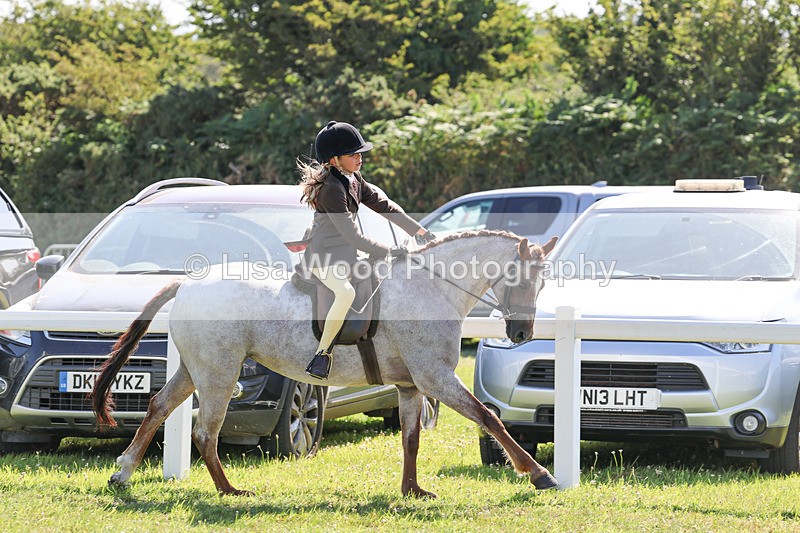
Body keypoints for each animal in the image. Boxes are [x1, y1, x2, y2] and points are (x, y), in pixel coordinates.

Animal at [91, 230, 559, 497]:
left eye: (543, 281)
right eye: (518, 278)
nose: (521, 334)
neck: (430, 286)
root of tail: (187, 285)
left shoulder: (411, 385)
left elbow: (410, 439)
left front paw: (412, 490)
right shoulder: (437, 378)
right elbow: (490, 419)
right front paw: (538, 474)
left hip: (196, 370)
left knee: (159, 407)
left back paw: (123, 473)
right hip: (219, 374)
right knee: (205, 431)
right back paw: (229, 490)